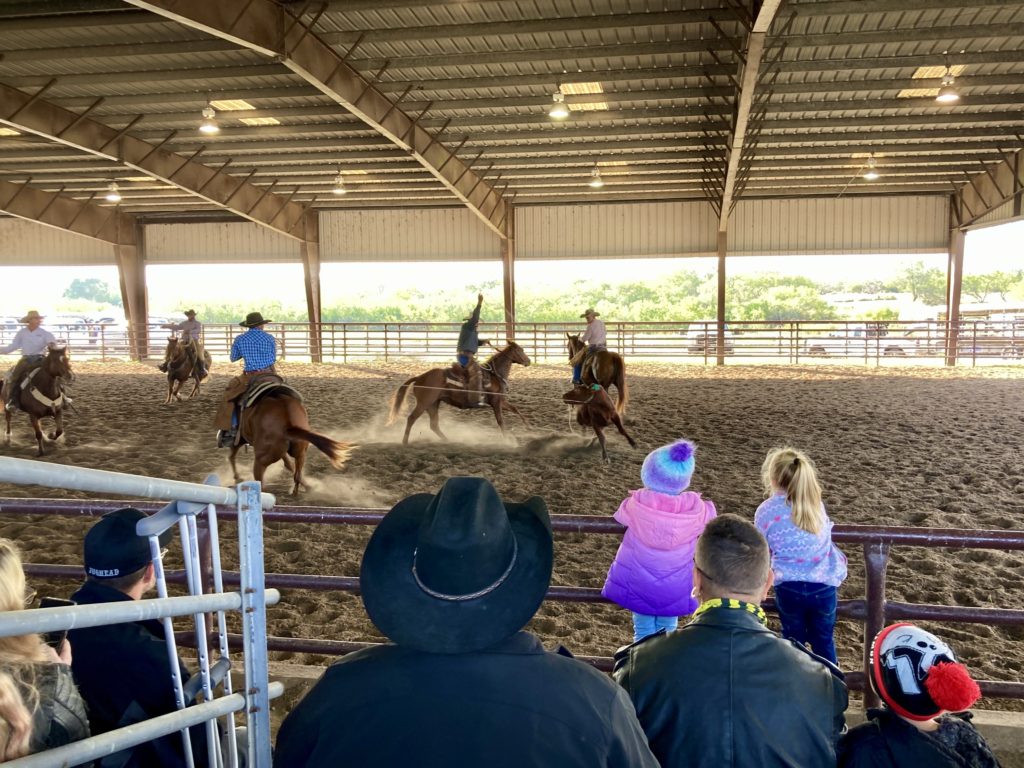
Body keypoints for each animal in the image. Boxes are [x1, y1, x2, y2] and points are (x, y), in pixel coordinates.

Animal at [226, 385, 354, 499]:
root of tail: (288, 424)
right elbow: (289, 464)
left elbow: (232, 455)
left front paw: (237, 477)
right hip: (300, 453)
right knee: (297, 474)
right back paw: (298, 491)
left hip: (260, 460)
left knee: (258, 478)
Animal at [387, 342, 532, 444]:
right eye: (521, 350)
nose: (529, 361)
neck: (494, 375)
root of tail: (419, 377)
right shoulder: (496, 402)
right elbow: (500, 421)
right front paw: (508, 440)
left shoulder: (500, 401)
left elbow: (515, 409)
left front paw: (529, 428)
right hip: (424, 403)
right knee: (411, 419)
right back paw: (405, 442)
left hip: (433, 404)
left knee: (434, 425)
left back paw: (448, 440)